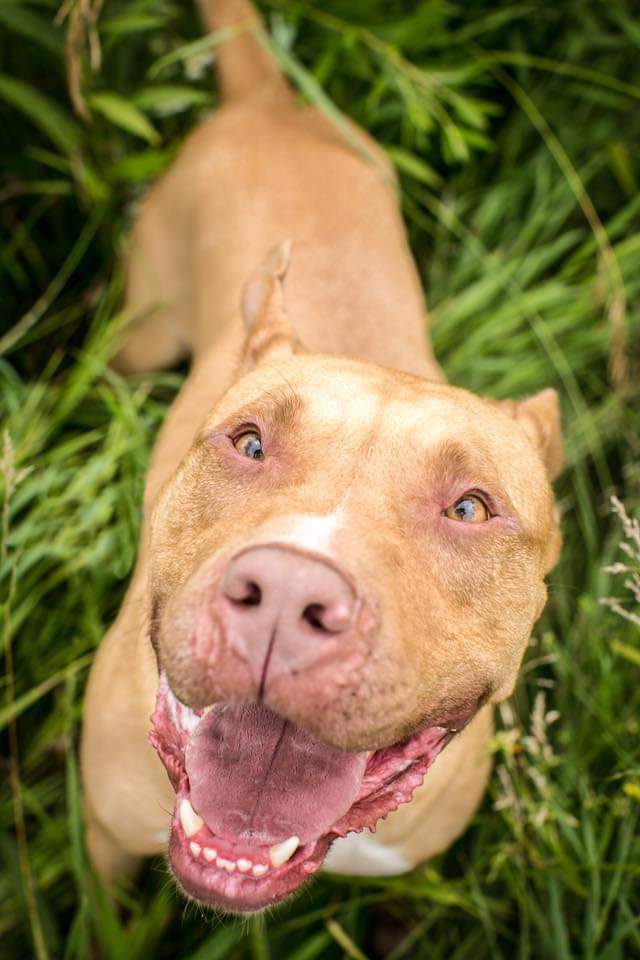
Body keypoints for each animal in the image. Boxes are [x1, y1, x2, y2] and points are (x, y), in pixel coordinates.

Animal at [79, 0, 560, 916]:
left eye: (471, 506)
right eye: (250, 443)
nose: (284, 597)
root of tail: (268, 100)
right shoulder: (106, 845)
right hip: (141, 331)